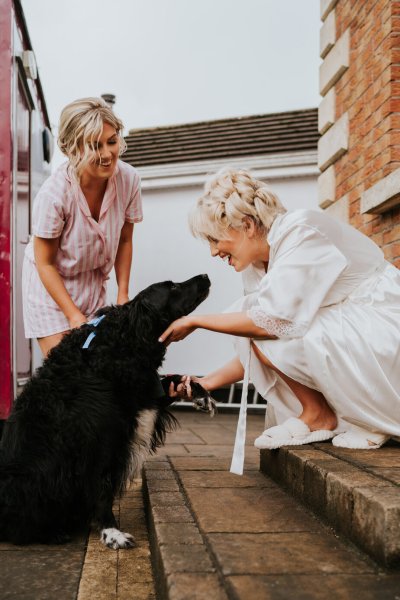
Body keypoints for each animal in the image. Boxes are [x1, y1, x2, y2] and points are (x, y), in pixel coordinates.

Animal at [0, 276, 211, 548]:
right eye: (173, 287)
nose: (205, 276)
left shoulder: (144, 391)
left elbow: (172, 381)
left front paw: (200, 393)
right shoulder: (99, 443)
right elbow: (102, 489)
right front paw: (112, 532)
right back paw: (53, 533)